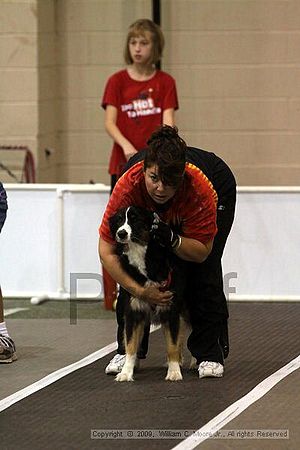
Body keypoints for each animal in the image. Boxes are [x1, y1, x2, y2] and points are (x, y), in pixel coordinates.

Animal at [109, 206, 186, 382]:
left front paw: (174, 372)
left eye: (135, 219)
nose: (121, 233)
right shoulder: (133, 313)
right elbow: (131, 346)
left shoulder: (171, 311)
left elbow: (172, 345)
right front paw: (126, 373)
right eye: (118, 220)